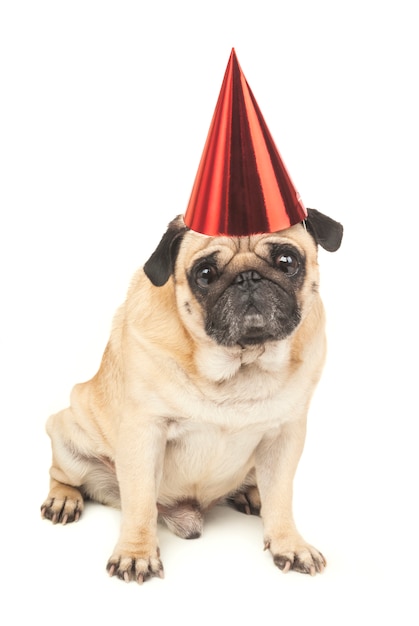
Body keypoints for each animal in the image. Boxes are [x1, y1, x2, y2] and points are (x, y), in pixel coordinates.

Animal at [41, 208, 344, 580]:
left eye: (287, 261)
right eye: (205, 274)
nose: (248, 277)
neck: (239, 364)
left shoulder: (285, 435)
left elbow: (281, 497)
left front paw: (290, 544)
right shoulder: (144, 434)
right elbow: (139, 502)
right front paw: (136, 554)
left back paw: (252, 494)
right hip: (67, 434)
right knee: (60, 474)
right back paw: (64, 499)